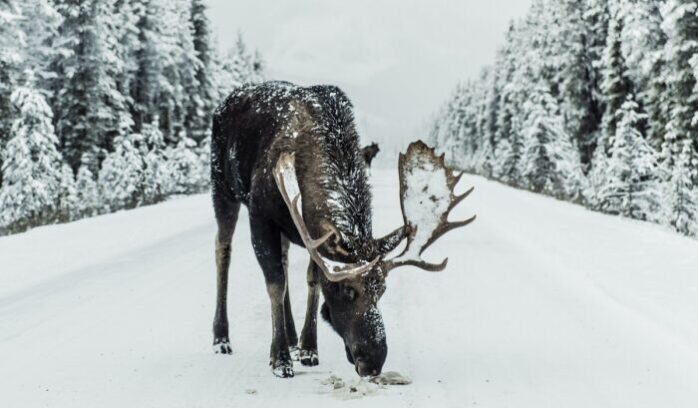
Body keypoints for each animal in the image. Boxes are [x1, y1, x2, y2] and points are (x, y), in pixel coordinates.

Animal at [210, 81, 475, 378]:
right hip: (222, 187)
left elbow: (312, 280)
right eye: (348, 291)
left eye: (382, 289)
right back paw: (222, 338)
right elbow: (275, 283)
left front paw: (308, 348)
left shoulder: (309, 232)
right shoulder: (260, 214)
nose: (373, 361)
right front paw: (279, 359)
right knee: (223, 250)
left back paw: (291, 337)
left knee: (284, 259)